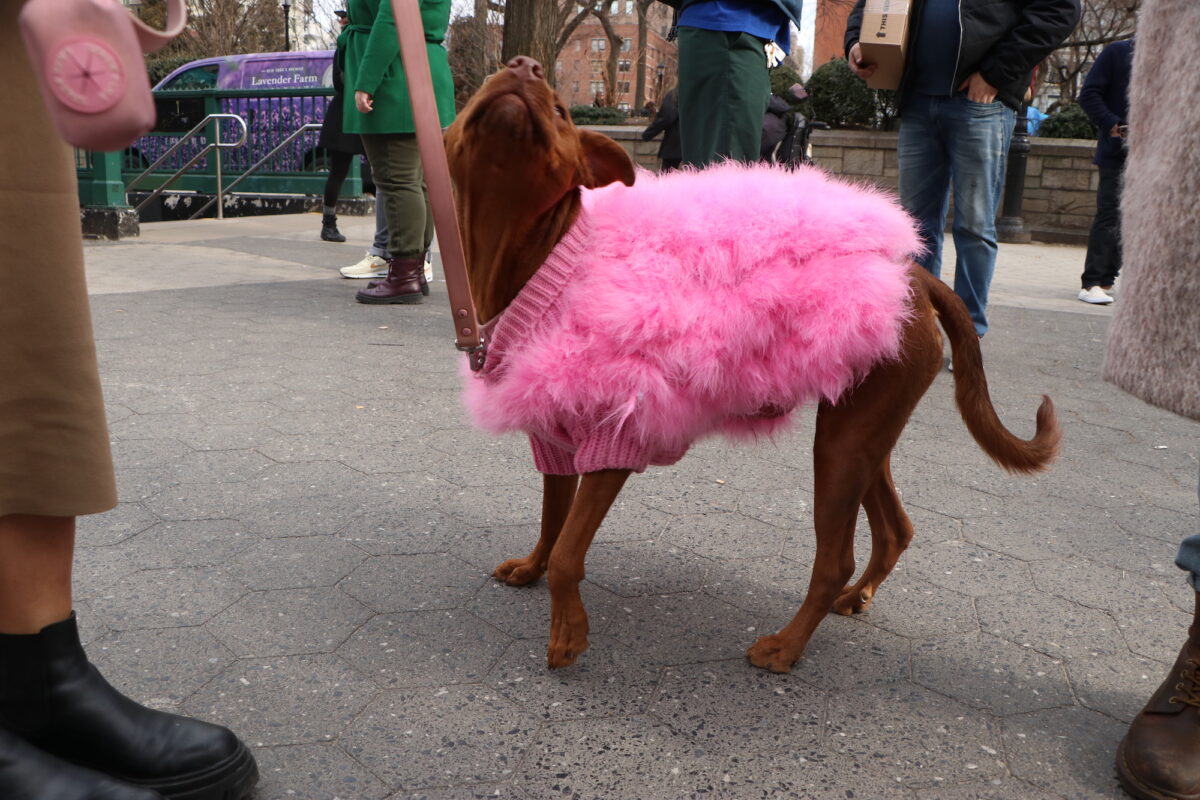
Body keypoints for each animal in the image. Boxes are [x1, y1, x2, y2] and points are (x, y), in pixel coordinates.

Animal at [444, 56, 1060, 671]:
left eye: (561, 111)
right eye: (489, 83)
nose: (523, 66)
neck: (543, 262)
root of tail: (917, 274)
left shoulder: (616, 441)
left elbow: (571, 551)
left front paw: (568, 632)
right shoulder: (552, 432)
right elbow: (552, 518)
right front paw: (532, 567)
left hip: (841, 447)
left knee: (834, 557)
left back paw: (786, 646)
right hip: (864, 436)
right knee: (895, 531)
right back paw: (855, 596)